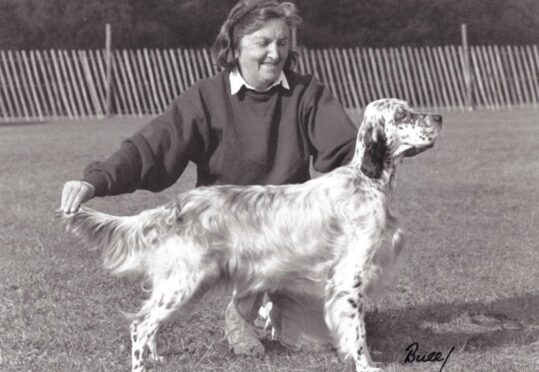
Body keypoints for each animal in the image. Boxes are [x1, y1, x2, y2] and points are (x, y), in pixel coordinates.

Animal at [62, 99, 442, 372]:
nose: (439, 117)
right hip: (184, 281)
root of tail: (175, 206)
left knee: (148, 323)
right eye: (403, 114)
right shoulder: (350, 277)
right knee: (140, 325)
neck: (367, 181)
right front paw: (367, 365)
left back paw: (155, 357)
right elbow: (358, 333)